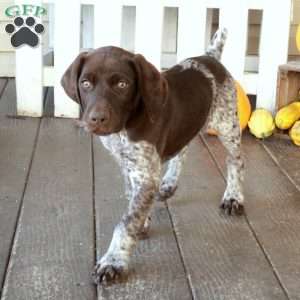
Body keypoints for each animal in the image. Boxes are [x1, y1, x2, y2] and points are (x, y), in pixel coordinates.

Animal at [60, 29, 244, 284]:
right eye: (85, 83)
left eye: (122, 84)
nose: (96, 119)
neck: (125, 128)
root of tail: (209, 57)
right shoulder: (129, 166)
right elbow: (133, 201)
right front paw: (143, 220)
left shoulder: (144, 174)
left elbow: (126, 221)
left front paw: (113, 260)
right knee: (182, 149)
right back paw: (169, 184)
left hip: (227, 126)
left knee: (235, 161)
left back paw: (234, 197)